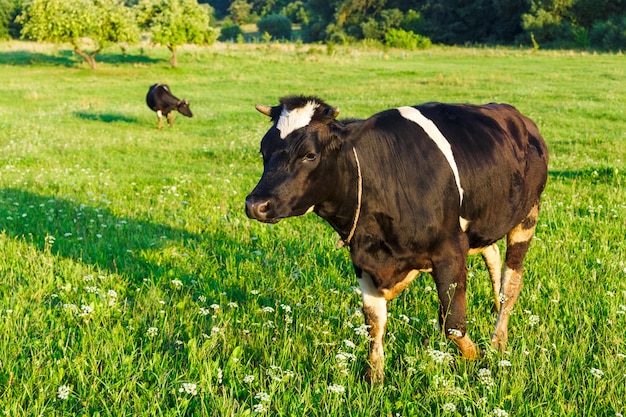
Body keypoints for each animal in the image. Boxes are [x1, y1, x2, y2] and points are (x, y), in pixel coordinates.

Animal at [244, 96, 544, 382]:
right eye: (263, 150)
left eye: (309, 154)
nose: (256, 204)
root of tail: (519, 118)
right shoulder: (362, 256)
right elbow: (374, 321)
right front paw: (374, 378)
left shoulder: (450, 250)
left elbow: (453, 325)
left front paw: (477, 357)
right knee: (492, 254)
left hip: (528, 215)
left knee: (511, 282)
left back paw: (498, 340)